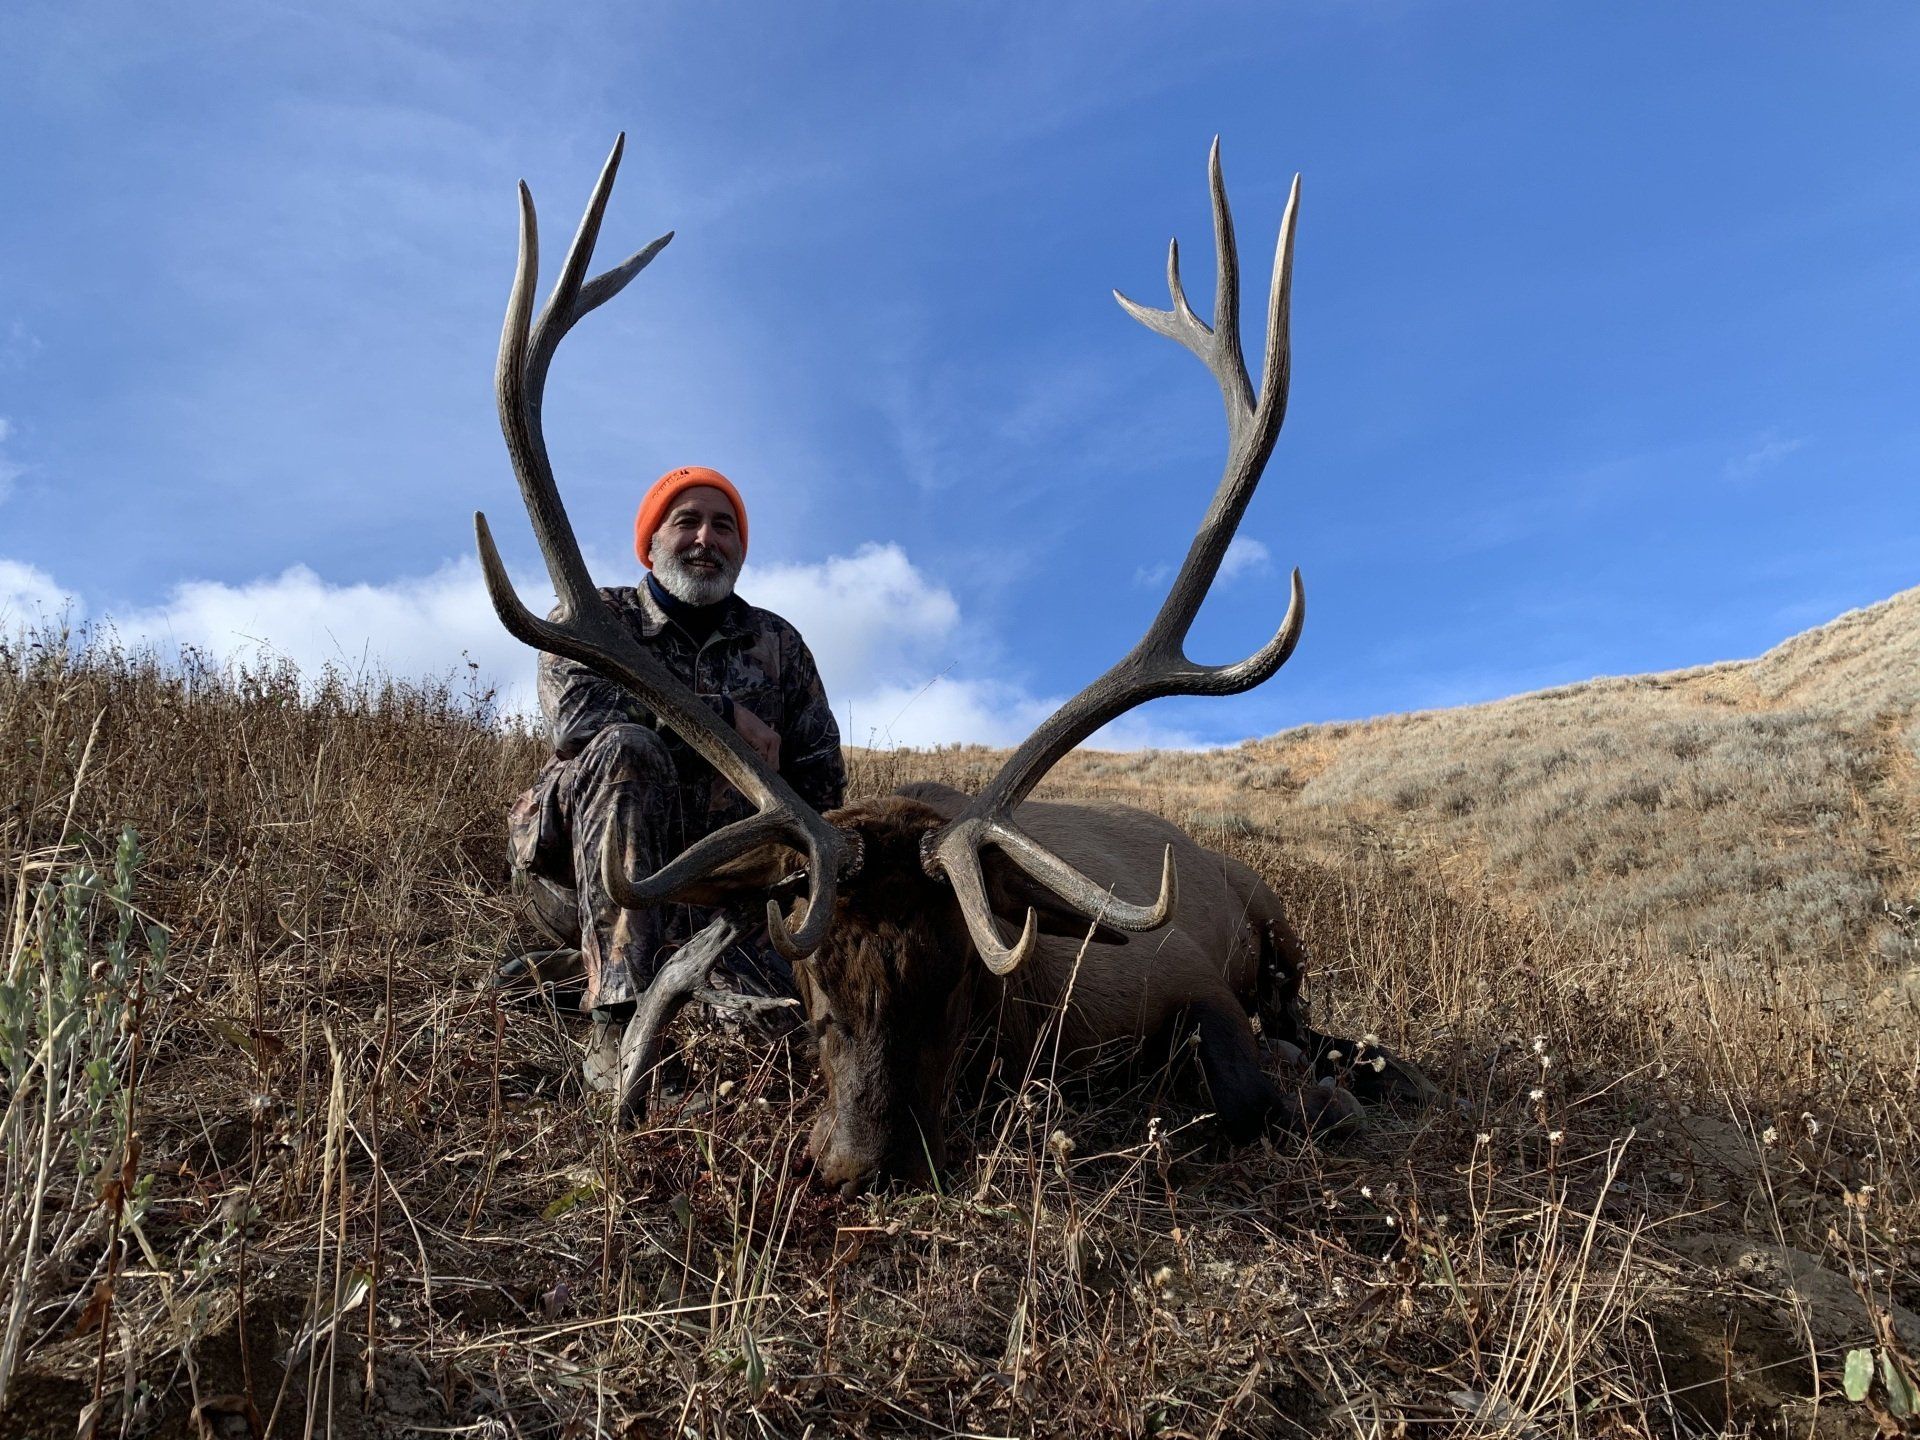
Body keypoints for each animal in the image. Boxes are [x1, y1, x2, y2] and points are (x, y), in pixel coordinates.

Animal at [474, 135, 1428, 1192]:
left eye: (964, 978)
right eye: (812, 982)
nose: (865, 1161)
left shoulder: (1179, 976)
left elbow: (1247, 1091)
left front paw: (1319, 1094)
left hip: (1275, 913)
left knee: (1306, 1019)